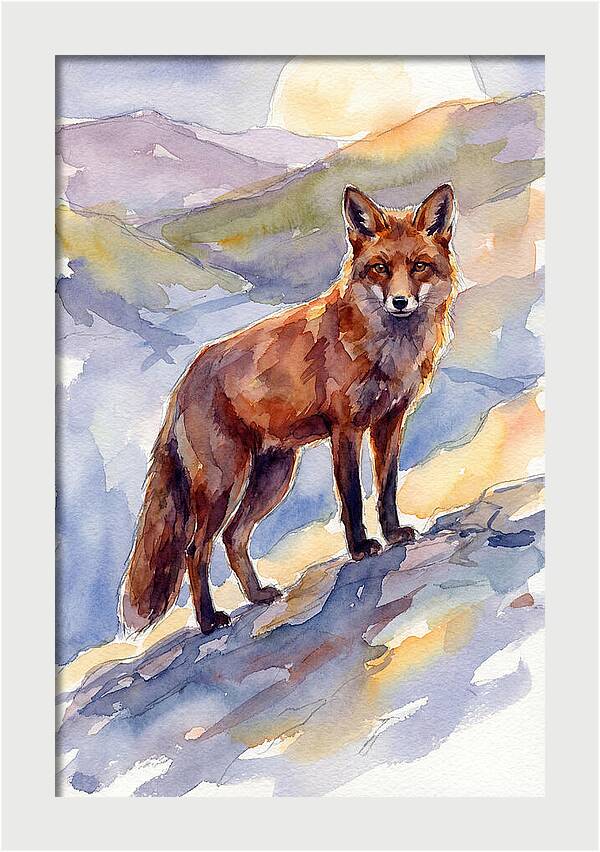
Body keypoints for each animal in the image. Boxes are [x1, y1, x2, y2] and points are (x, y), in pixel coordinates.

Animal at [120, 183, 460, 635]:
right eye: (380, 269)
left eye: (420, 266)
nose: (400, 302)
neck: (388, 350)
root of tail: (184, 381)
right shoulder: (345, 428)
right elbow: (352, 496)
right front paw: (360, 548)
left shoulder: (390, 421)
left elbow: (386, 488)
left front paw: (393, 534)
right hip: (223, 483)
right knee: (196, 547)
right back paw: (209, 621)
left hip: (273, 476)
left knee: (233, 537)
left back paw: (257, 595)